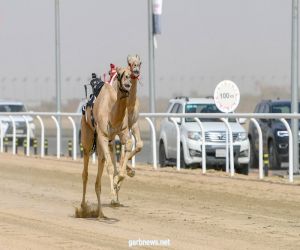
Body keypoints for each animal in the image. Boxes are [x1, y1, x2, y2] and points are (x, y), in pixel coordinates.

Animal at [79, 66, 132, 219]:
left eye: (131, 74)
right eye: (119, 74)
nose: (127, 84)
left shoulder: (122, 132)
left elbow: (124, 155)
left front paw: (116, 184)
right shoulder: (102, 135)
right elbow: (110, 167)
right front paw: (113, 196)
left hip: (104, 144)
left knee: (98, 179)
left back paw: (100, 213)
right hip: (87, 137)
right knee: (85, 173)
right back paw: (83, 208)